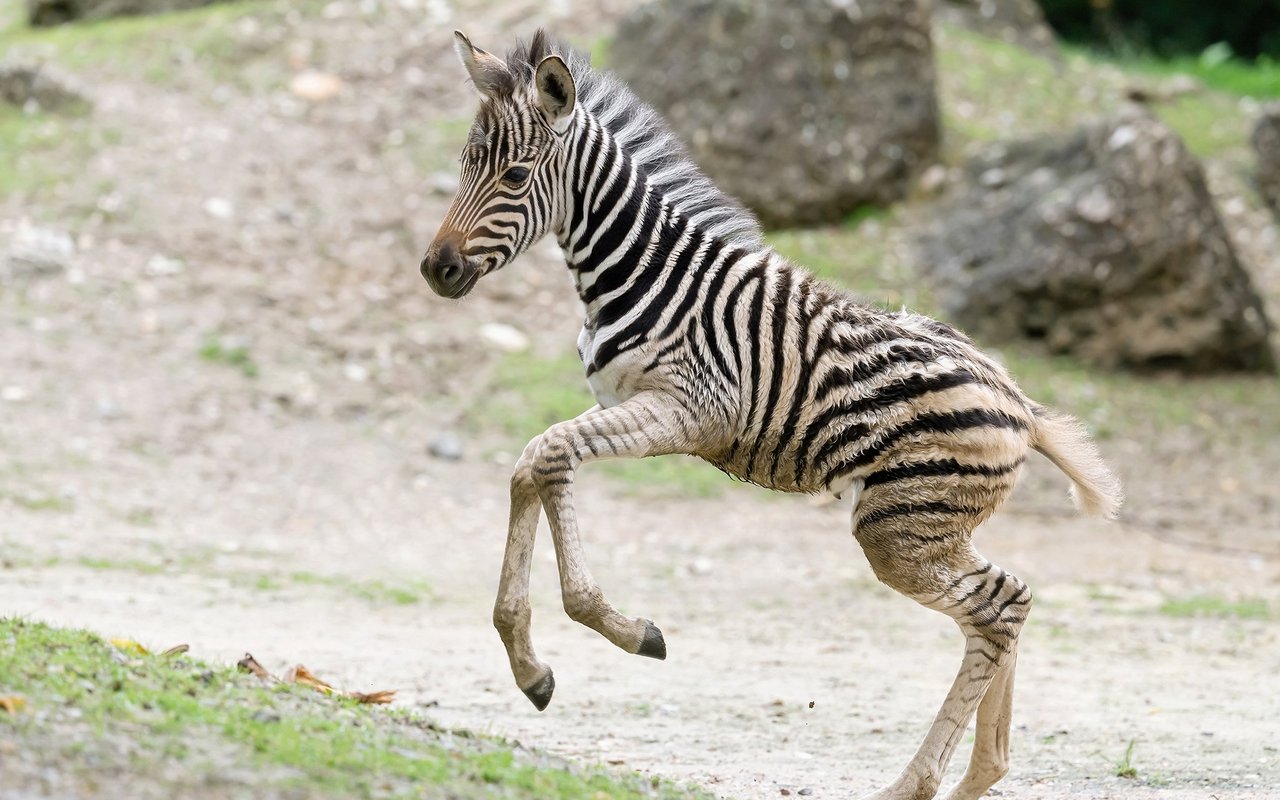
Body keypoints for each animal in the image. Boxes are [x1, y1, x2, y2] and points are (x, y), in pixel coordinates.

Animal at [419, 29, 1121, 798]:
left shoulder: (688, 411)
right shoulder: (625, 401)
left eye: (516, 177)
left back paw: (915, 784)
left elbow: (548, 457)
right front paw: (530, 666)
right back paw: (981, 773)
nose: (436, 270)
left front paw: (620, 630)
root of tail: (1017, 399)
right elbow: (530, 463)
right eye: (465, 166)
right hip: (925, 525)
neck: (646, 273)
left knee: (998, 609)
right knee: (1007, 604)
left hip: (900, 529)